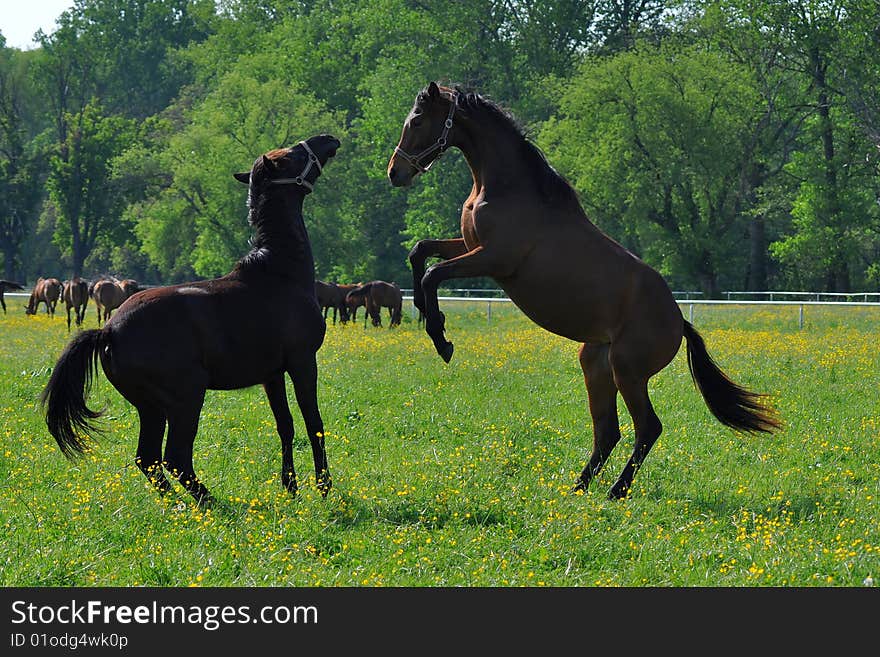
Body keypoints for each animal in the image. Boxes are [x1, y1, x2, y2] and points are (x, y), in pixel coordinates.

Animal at [43, 132, 342, 502]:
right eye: (290, 156)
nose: (328, 139)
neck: (278, 271)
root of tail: (109, 330)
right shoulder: (302, 362)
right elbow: (314, 423)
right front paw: (323, 486)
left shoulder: (272, 374)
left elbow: (285, 425)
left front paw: (291, 486)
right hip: (186, 398)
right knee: (175, 458)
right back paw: (212, 503)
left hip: (151, 408)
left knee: (148, 459)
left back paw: (180, 505)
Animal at [388, 83, 780, 502]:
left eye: (417, 120)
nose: (395, 172)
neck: (505, 189)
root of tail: (679, 323)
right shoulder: (468, 246)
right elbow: (420, 252)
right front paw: (426, 314)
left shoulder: (494, 260)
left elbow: (432, 274)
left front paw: (441, 338)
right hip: (596, 366)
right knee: (609, 431)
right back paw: (578, 488)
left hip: (628, 371)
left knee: (648, 428)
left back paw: (615, 491)